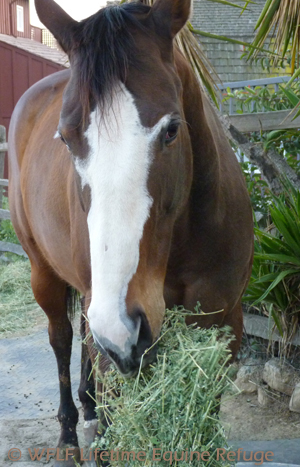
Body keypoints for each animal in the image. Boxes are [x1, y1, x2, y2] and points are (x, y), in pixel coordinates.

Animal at [8, 0, 253, 462]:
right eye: (65, 139)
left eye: (171, 129)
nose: (123, 329)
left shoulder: (223, 325)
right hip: (45, 276)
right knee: (62, 339)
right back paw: (69, 435)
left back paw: (87, 408)